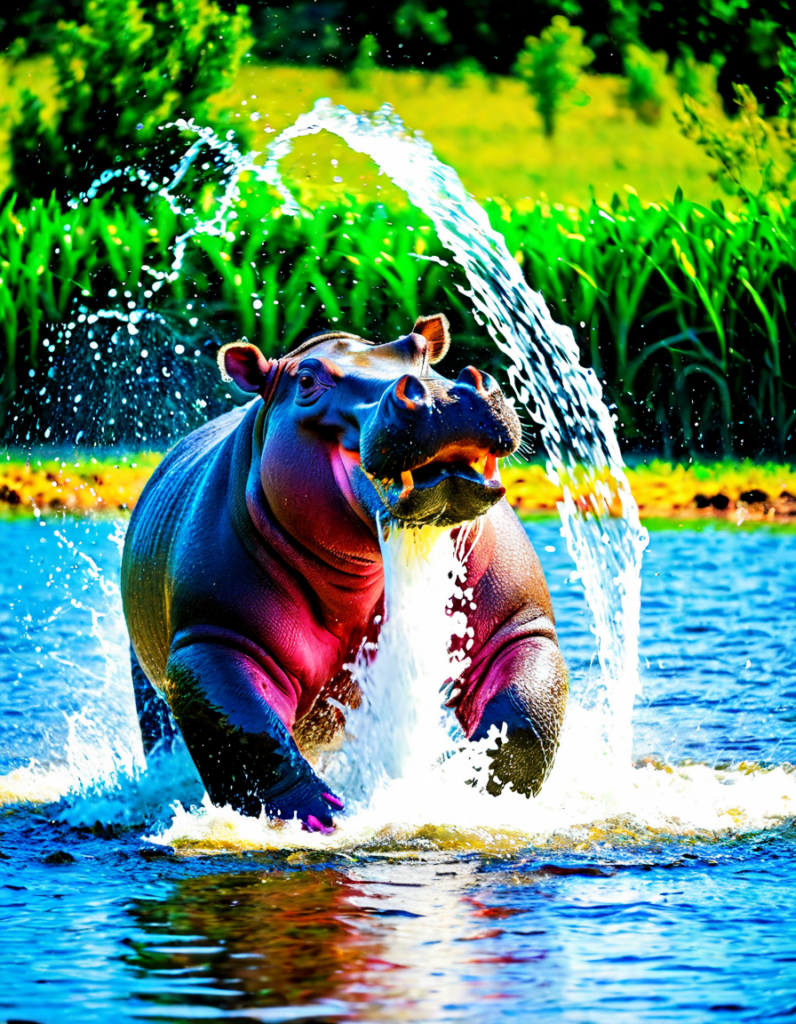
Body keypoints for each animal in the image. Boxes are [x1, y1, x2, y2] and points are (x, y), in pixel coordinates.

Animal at [121, 314, 568, 831]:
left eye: (418, 348)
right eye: (306, 380)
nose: (447, 394)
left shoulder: (517, 623)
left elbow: (523, 715)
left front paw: (463, 793)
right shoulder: (212, 639)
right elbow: (250, 736)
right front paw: (321, 818)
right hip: (148, 679)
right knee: (166, 732)